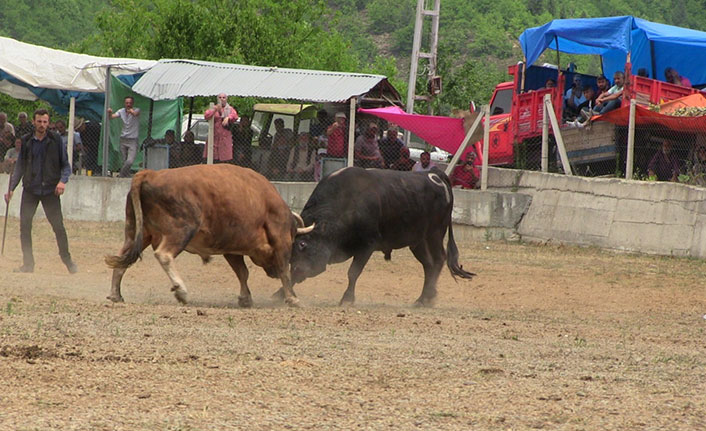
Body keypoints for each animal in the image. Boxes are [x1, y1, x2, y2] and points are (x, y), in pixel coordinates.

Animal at [105, 164, 310, 308]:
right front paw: (293, 299)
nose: (271, 273)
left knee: (122, 260)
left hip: (137, 233)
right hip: (182, 230)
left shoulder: (231, 249)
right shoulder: (281, 239)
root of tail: (150, 174)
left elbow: (242, 273)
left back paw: (116, 295)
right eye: (295, 242)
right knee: (164, 254)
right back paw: (182, 291)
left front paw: (245, 298)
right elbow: (284, 270)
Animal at [286, 166, 472, 308]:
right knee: (429, 265)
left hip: (434, 234)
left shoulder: (367, 245)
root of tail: (434, 174)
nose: (295, 269)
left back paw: (428, 297)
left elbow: (353, 273)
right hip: (417, 242)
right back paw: (423, 298)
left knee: (439, 259)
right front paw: (283, 294)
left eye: (302, 244)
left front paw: (347, 299)